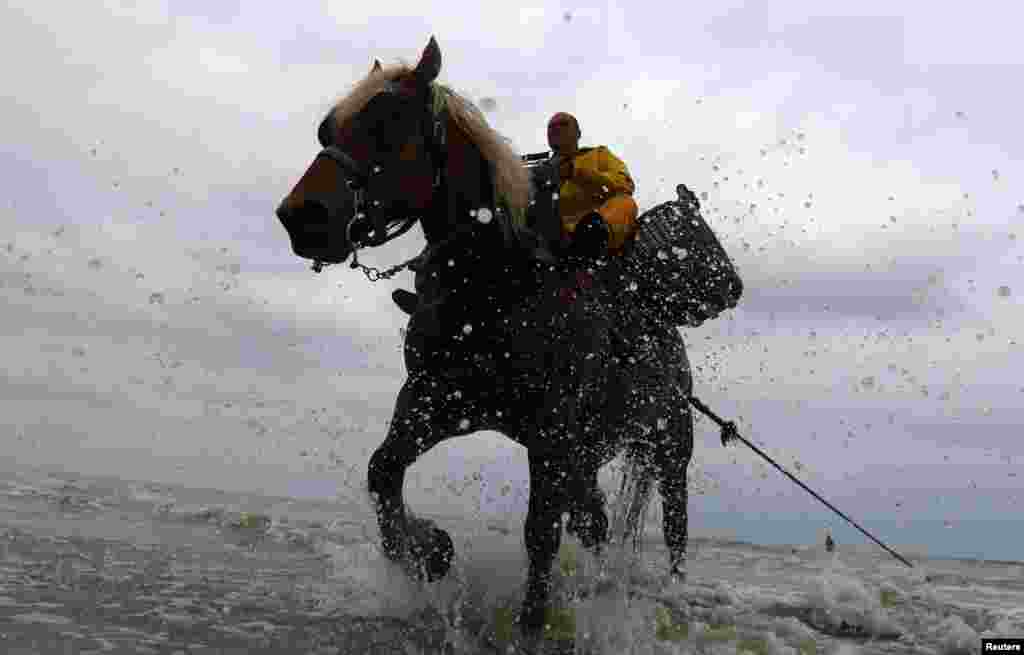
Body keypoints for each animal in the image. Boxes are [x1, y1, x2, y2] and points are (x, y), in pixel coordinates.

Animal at [274, 37, 720, 638]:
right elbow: (383, 472)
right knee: (595, 521)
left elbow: (541, 533)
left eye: (387, 124)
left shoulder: (552, 431)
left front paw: (532, 624)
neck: (495, 286)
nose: (302, 217)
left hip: (668, 449)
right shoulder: (435, 402)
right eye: (327, 130)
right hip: (585, 452)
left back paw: (669, 591)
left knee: (674, 527)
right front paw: (430, 549)